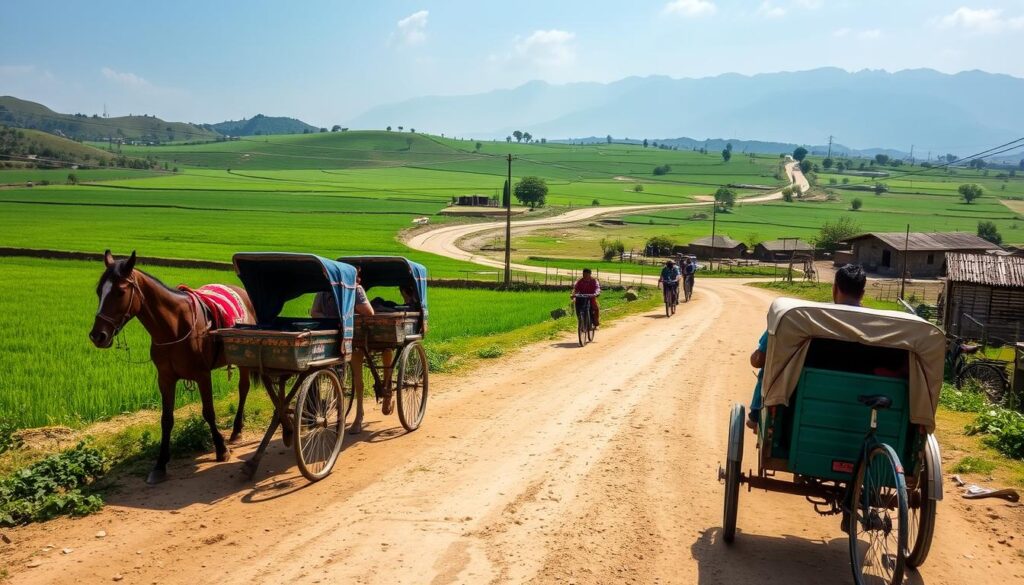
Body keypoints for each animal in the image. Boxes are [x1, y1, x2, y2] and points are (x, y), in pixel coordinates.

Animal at [91, 252, 254, 485]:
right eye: (99, 291)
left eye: (120, 292)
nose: (97, 335)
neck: (174, 326)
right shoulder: (165, 378)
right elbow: (166, 419)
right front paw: (160, 464)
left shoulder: (202, 375)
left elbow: (209, 412)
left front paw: (221, 449)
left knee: (243, 388)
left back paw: (237, 430)